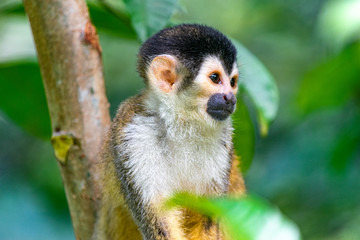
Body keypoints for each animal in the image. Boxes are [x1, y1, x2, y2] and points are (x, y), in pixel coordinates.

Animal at [94, 23, 246, 239]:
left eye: (232, 82)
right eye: (215, 78)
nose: (231, 98)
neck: (181, 125)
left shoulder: (223, 139)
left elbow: (206, 218)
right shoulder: (132, 137)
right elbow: (159, 220)